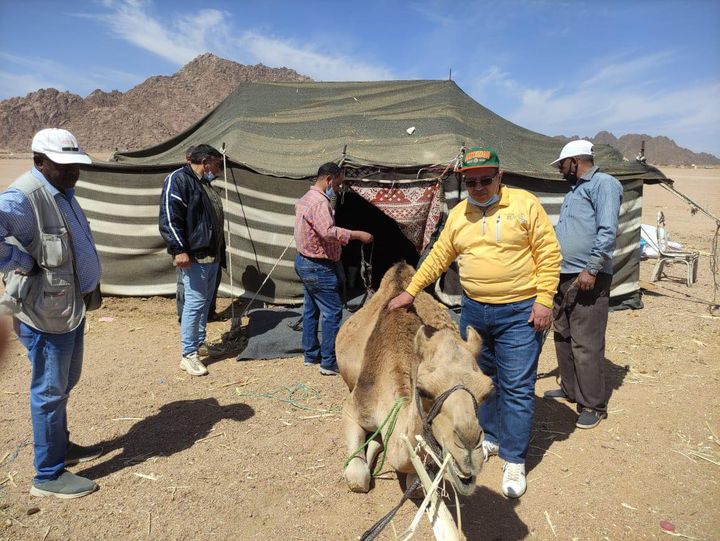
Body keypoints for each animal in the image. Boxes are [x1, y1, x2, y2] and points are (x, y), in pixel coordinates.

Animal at [334, 262, 492, 494]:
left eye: (488, 392)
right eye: (423, 391)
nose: (469, 447)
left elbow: (415, 484)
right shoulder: (354, 407)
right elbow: (357, 478)